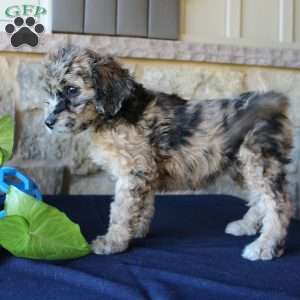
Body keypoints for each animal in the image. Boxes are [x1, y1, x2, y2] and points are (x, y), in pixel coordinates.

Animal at [42, 46, 292, 260]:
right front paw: (137, 230)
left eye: (72, 89)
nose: (48, 123)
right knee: (260, 199)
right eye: (50, 93)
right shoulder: (145, 174)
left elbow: (121, 211)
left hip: (259, 161)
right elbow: (143, 206)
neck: (119, 112)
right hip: (243, 166)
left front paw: (112, 242)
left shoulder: (133, 173)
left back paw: (264, 246)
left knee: (279, 204)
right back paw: (246, 226)